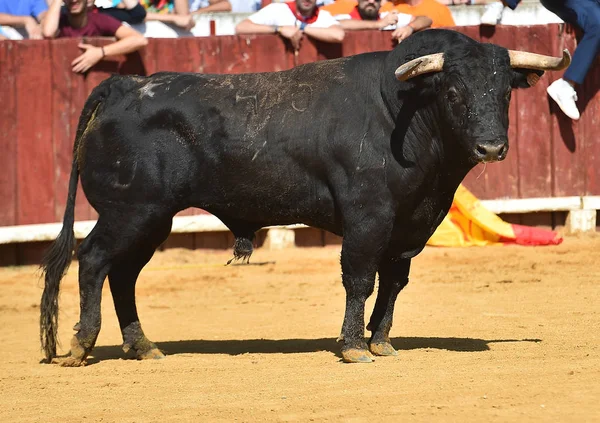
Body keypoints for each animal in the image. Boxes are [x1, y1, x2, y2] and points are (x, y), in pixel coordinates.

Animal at [41, 29, 568, 364]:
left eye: (505, 94)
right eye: (454, 92)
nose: (492, 148)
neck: (403, 109)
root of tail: (124, 86)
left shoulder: (410, 225)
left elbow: (393, 283)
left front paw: (381, 342)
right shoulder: (368, 217)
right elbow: (360, 279)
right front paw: (353, 347)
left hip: (154, 219)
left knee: (123, 274)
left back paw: (143, 346)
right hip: (130, 212)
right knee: (94, 261)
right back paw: (81, 347)